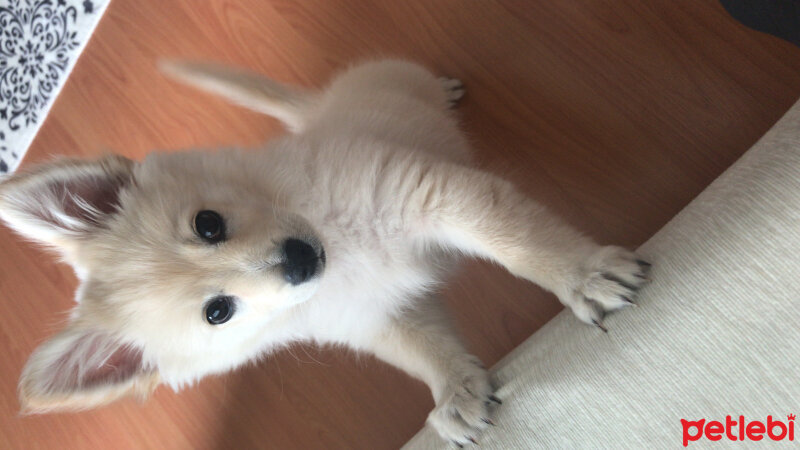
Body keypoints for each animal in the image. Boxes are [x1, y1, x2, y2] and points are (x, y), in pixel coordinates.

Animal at [0, 60, 648, 446]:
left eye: (208, 225)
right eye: (219, 312)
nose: (300, 260)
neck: (337, 241)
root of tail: (313, 109)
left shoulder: (438, 196)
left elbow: (522, 245)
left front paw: (582, 276)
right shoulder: (375, 313)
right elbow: (419, 349)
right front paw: (455, 390)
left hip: (397, 78)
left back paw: (443, 88)